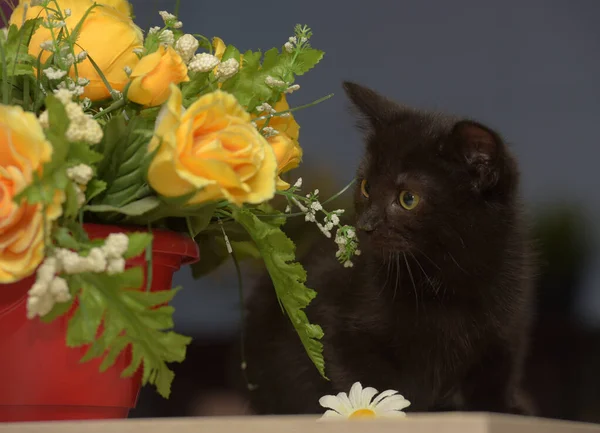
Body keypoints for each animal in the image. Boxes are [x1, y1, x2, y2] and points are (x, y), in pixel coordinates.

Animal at [241, 82, 536, 416]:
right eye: (366, 186)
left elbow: (497, 371)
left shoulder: (507, 323)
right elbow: (370, 381)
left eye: (408, 198)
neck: (443, 275)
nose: (366, 224)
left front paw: (507, 408)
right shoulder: (336, 325)